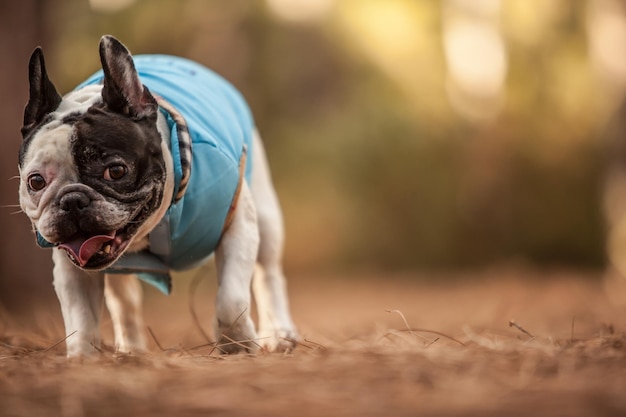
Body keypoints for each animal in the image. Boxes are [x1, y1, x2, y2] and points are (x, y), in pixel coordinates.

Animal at [17, 34, 294, 356]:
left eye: (116, 171)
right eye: (35, 182)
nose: (72, 200)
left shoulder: (237, 226)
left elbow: (231, 299)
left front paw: (237, 344)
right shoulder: (73, 269)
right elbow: (81, 319)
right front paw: (83, 358)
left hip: (265, 215)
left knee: (268, 274)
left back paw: (280, 334)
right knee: (124, 302)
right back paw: (132, 350)